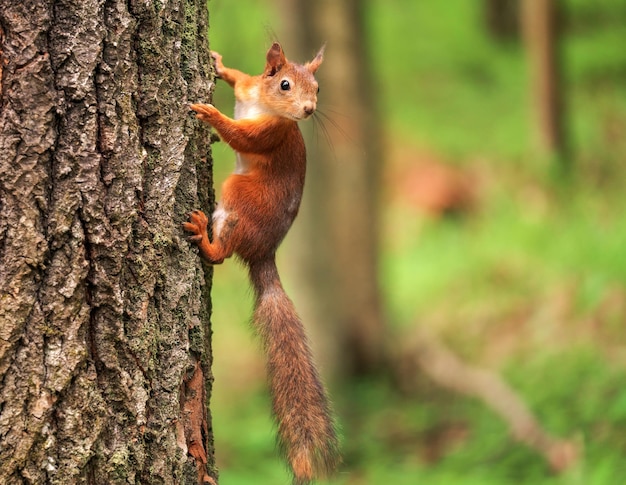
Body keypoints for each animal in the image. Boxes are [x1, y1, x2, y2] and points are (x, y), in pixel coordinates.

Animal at [183, 43, 338, 482]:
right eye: (284, 82)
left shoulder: (268, 135)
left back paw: (204, 237)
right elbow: (239, 77)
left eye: (318, 87)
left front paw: (212, 116)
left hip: (238, 193)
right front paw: (218, 64)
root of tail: (264, 252)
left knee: (221, 255)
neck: (265, 106)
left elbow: (239, 135)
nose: (308, 109)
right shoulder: (249, 87)